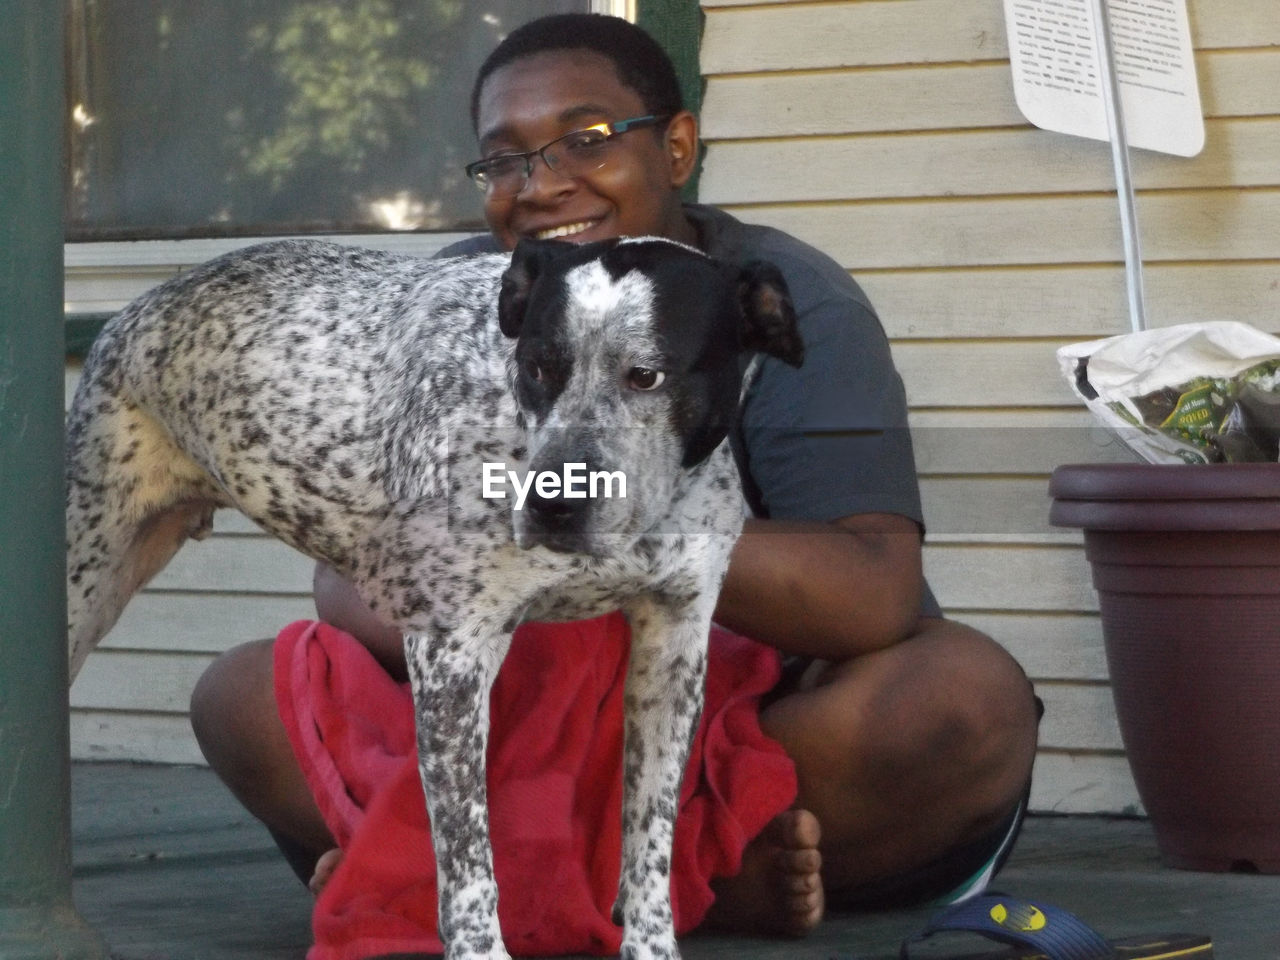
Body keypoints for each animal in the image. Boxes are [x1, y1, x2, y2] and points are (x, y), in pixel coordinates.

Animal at [64, 235, 798, 960]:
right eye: (536, 368)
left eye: (647, 375)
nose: (552, 504)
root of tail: (137, 308)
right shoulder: (453, 654)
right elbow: (468, 856)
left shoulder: (673, 649)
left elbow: (648, 841)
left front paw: (651, 944)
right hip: (83, 583)